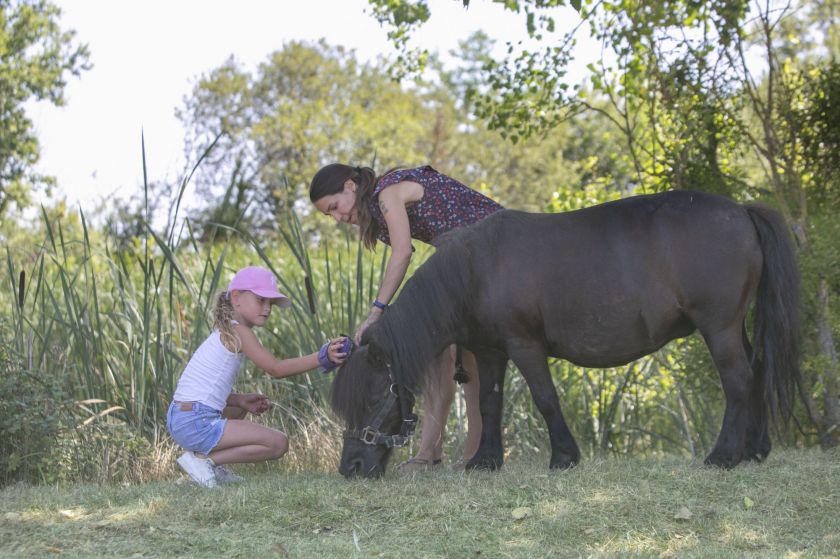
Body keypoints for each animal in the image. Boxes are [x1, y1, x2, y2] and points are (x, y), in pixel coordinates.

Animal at [328, 190, 800, 480]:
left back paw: (723, 456)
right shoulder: (489, 352)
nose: (350, 466)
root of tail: (741, 210)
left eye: (376, 395)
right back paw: (755, 450)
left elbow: (545, 399)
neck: (474, 272)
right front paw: (486, 461)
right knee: (756, 374)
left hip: (718, 327)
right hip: (734, 328)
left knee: (738, 382)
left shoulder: (525, 346)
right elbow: (489, 403)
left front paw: (564, 457)